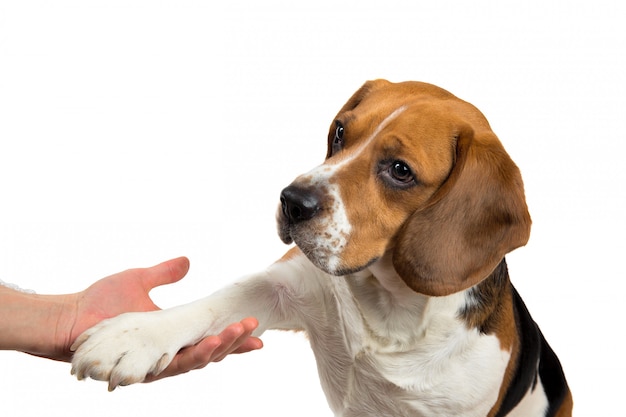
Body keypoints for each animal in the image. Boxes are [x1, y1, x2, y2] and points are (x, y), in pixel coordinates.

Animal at [72, 79, 572, 414]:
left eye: (400, 170)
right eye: (339, 132)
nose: (291, 202)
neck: (389, 305)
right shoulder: (285, 287)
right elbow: (213, 304)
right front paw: (132, 336)